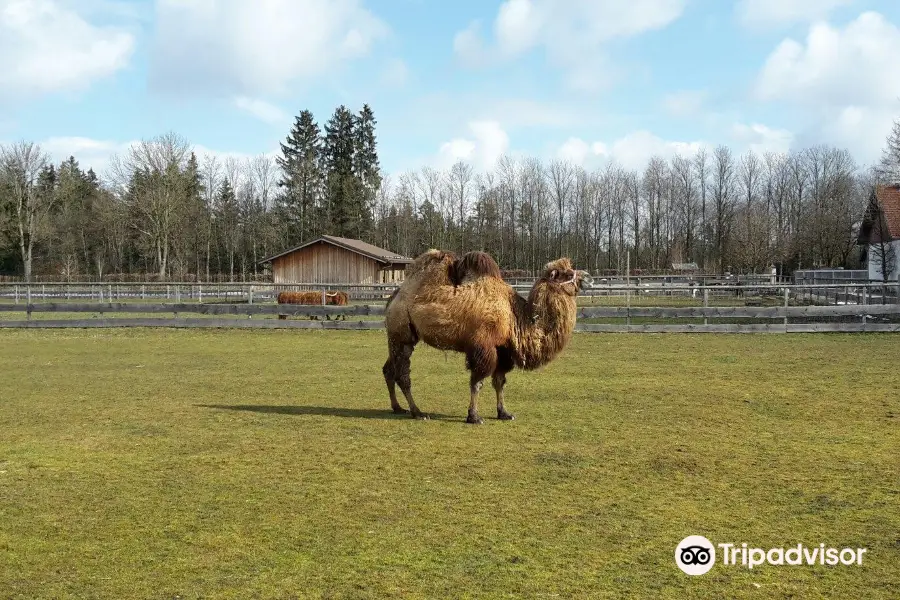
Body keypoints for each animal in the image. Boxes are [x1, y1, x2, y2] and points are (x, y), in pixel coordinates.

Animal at [380, 251, 592, 424]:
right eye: (567, 273)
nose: (589, 277)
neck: (515, 317)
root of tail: (394, 297)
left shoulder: (503, 349)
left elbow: (499, 382)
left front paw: (504, 413)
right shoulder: (483, 346)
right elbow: (478, 382)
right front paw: (474, 416)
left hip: (399, 337)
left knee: (389, 369)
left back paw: (398, 407)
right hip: (402, 334)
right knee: (402, 374)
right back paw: (418, 412)